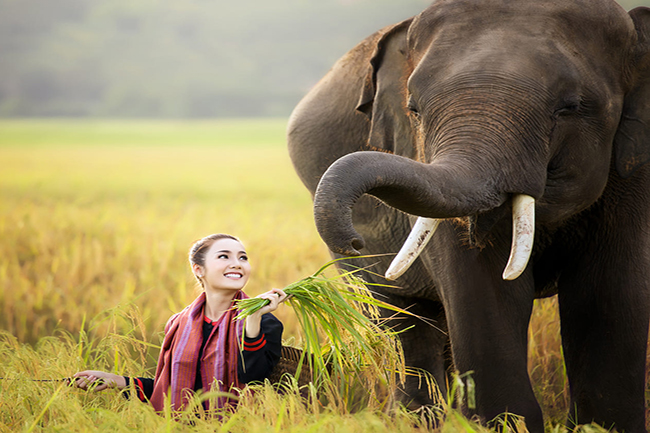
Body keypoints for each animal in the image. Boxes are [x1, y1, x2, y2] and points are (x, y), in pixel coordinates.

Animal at [288, 0, 648, 430]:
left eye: (570, 107)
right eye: (413, 110)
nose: (354, 241)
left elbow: (609, 291)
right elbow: (481, 286)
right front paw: (506, 423)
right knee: (403, 320)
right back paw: (413, 418)